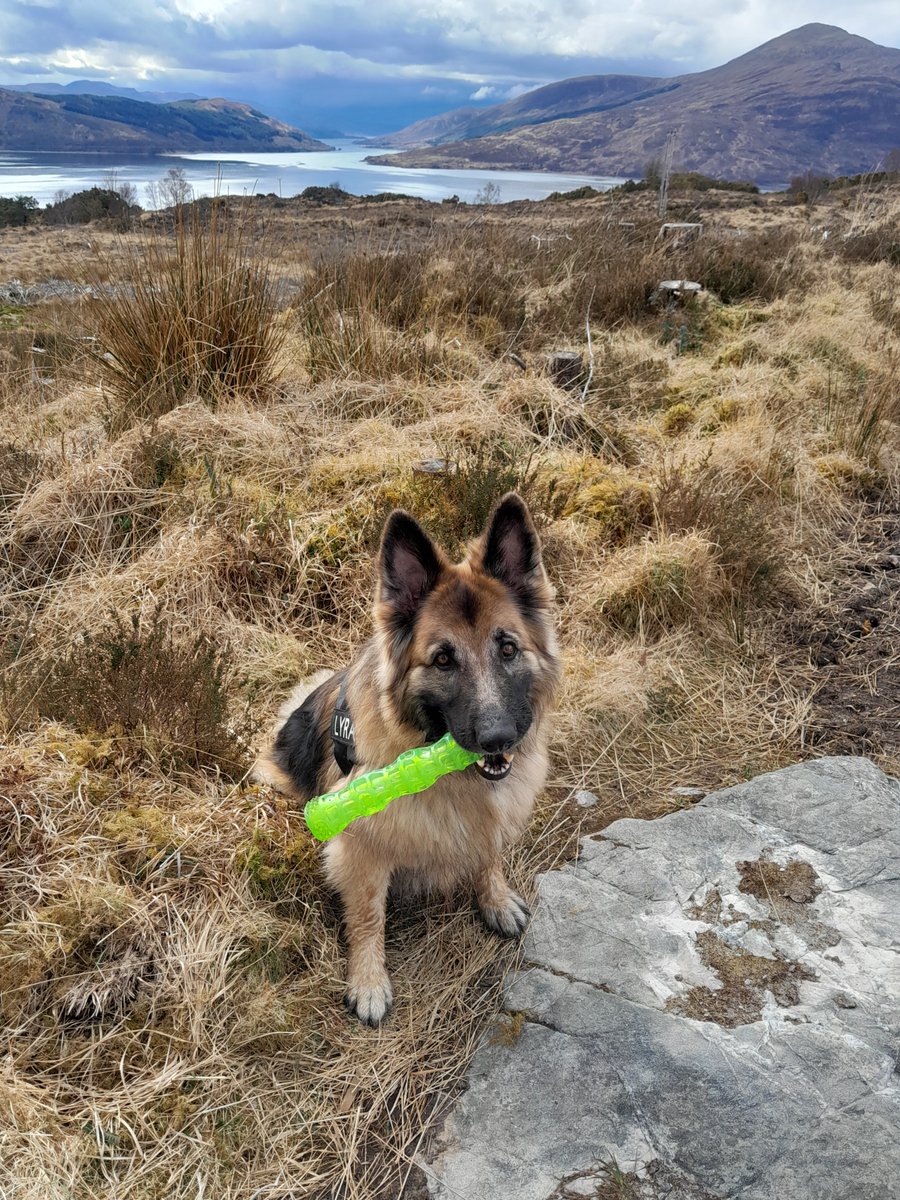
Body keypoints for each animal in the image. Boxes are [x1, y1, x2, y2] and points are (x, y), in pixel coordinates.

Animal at [256, 492, 561, 1027]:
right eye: (442, 660)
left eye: (507, 648)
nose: (498, 738)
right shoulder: (360, 850)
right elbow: (367, 916)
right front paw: (368, 982)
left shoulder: (490, 817)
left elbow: (489, 855)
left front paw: (496, 899)